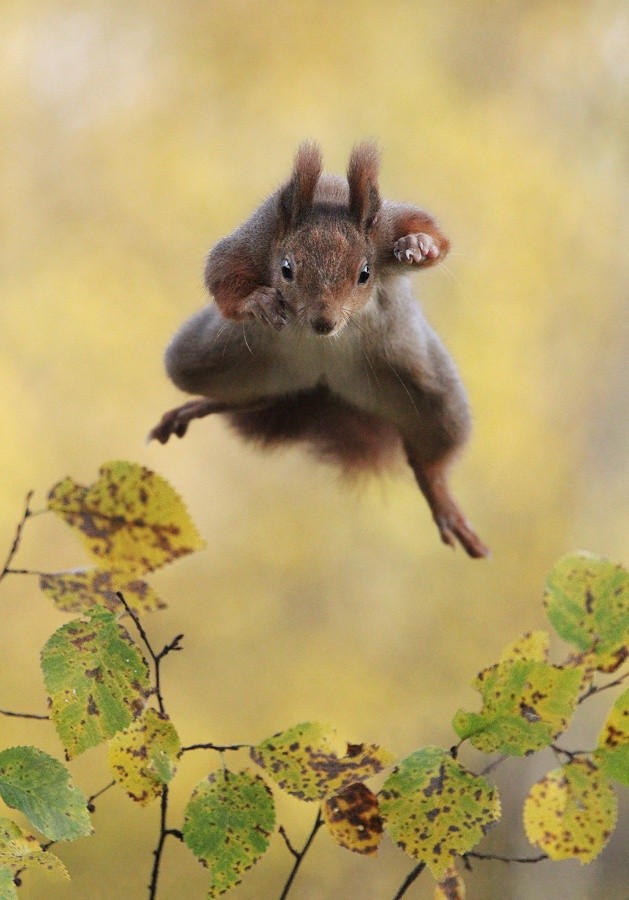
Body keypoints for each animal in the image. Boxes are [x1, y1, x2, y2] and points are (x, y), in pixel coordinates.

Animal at [150, 142, 488, 560]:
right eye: (286, 269)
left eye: (365, 273)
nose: (323, 323)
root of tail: (322, 386)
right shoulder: (256, 237)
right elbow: (221, 271)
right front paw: (257, 301)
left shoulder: (387, 226)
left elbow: (431, 232)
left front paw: (418, 245)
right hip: (206, 360)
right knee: (249, 397)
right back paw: (199, 406)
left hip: (431, 393)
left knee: (430, 458)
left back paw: (440, 497)